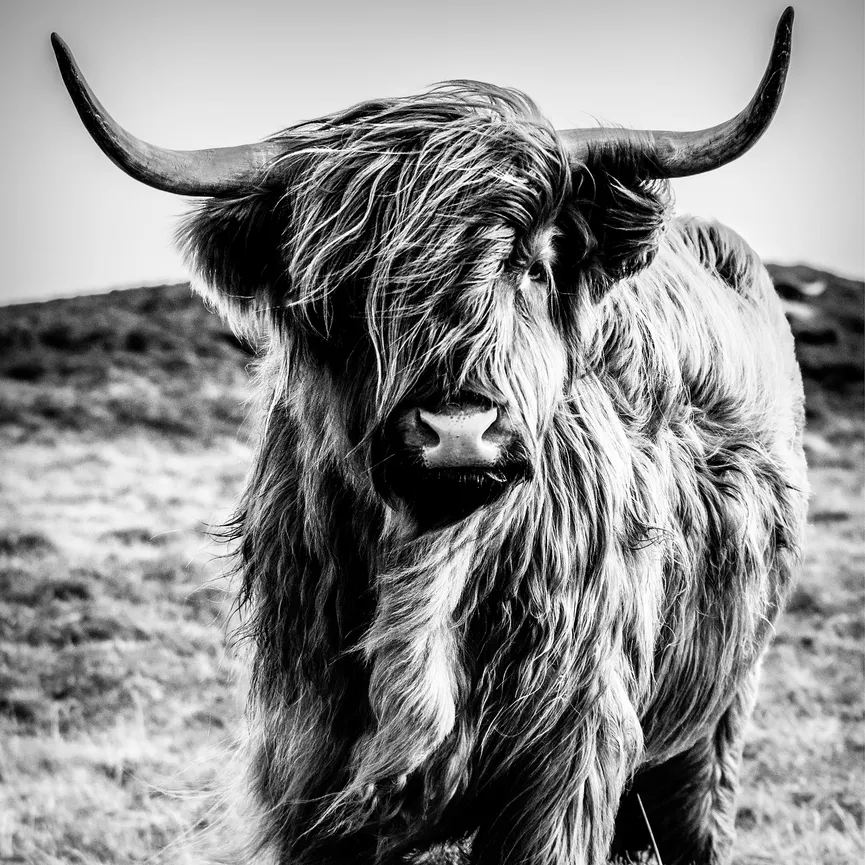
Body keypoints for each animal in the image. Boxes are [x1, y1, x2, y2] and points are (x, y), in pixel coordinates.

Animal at [52, 8, 808, 864]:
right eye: (343, 289)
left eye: (532, 266)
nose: (457, 430)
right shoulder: (307, 763)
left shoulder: (568, 755)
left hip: (717, 718)